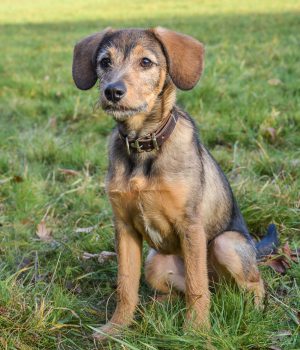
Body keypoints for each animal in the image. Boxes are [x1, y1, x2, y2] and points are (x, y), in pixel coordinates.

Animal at [71, 28, 278, 342]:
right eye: (104, 62)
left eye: (146, 62)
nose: (113, 92)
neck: (143, 146)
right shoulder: (124, 227)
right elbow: (126, 286)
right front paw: (116, 329)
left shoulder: (190, 226)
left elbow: (196, 287)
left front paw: (196, 332)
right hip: (155, 262)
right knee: (181, 293)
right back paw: (157, 308)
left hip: (227, 244)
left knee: (250, 283)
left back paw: (253, 310)